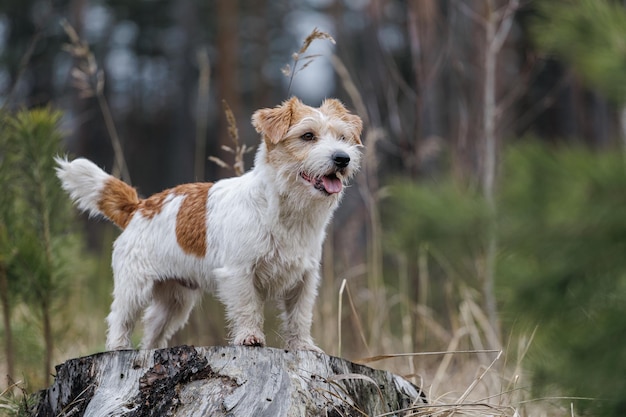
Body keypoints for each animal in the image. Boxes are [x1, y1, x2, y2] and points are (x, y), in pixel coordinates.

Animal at [57, 96, 366, 352]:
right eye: (307, 136)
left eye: (343, 137)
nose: (342, 158)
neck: (284, 210)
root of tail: (138, 207)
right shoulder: (239, 273)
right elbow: (247, 307)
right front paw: (250, 337)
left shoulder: (304, 278)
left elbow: (299, 316)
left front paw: (303, 346)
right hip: (134, 286)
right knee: (120, 318)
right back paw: (118, 348)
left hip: (175, 301)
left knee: (153, 330)